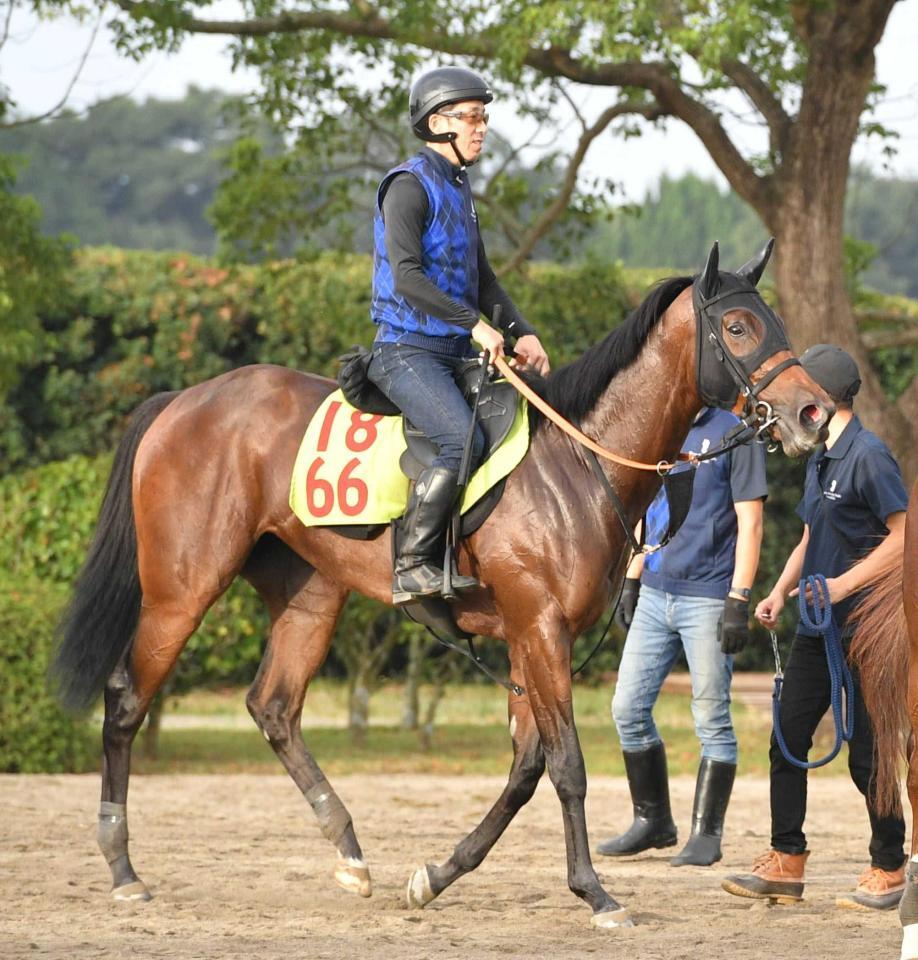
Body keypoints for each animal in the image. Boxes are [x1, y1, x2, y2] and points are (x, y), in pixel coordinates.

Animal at [51, 241, 832, 929]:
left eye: (777, 323)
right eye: (738, 326)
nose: (812, 414)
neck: (578, 461)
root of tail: (183, 400)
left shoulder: (528, 638)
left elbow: (525, 768)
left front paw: (437, 875)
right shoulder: (540, 629)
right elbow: (567, 766)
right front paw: (595, 893)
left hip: (311, 596)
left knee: (273, 707)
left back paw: (349, 851)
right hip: (181, 590)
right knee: (127, 701)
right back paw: (122, 867)